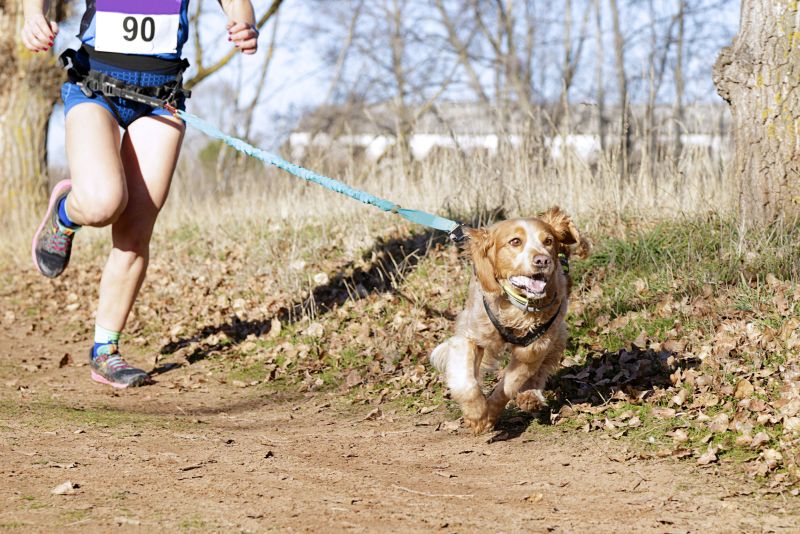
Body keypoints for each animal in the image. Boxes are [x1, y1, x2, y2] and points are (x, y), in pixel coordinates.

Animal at [432, 207, 588, 434]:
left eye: (548, 241)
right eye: (515, 241)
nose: (542, 260)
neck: (516, 306)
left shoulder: (532, 350)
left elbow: (507, 386)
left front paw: (489, 415)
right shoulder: (469, 337)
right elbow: (466, 383)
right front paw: (476, 414)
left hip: (556, 337)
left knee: (540, 371)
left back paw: (530, 396)